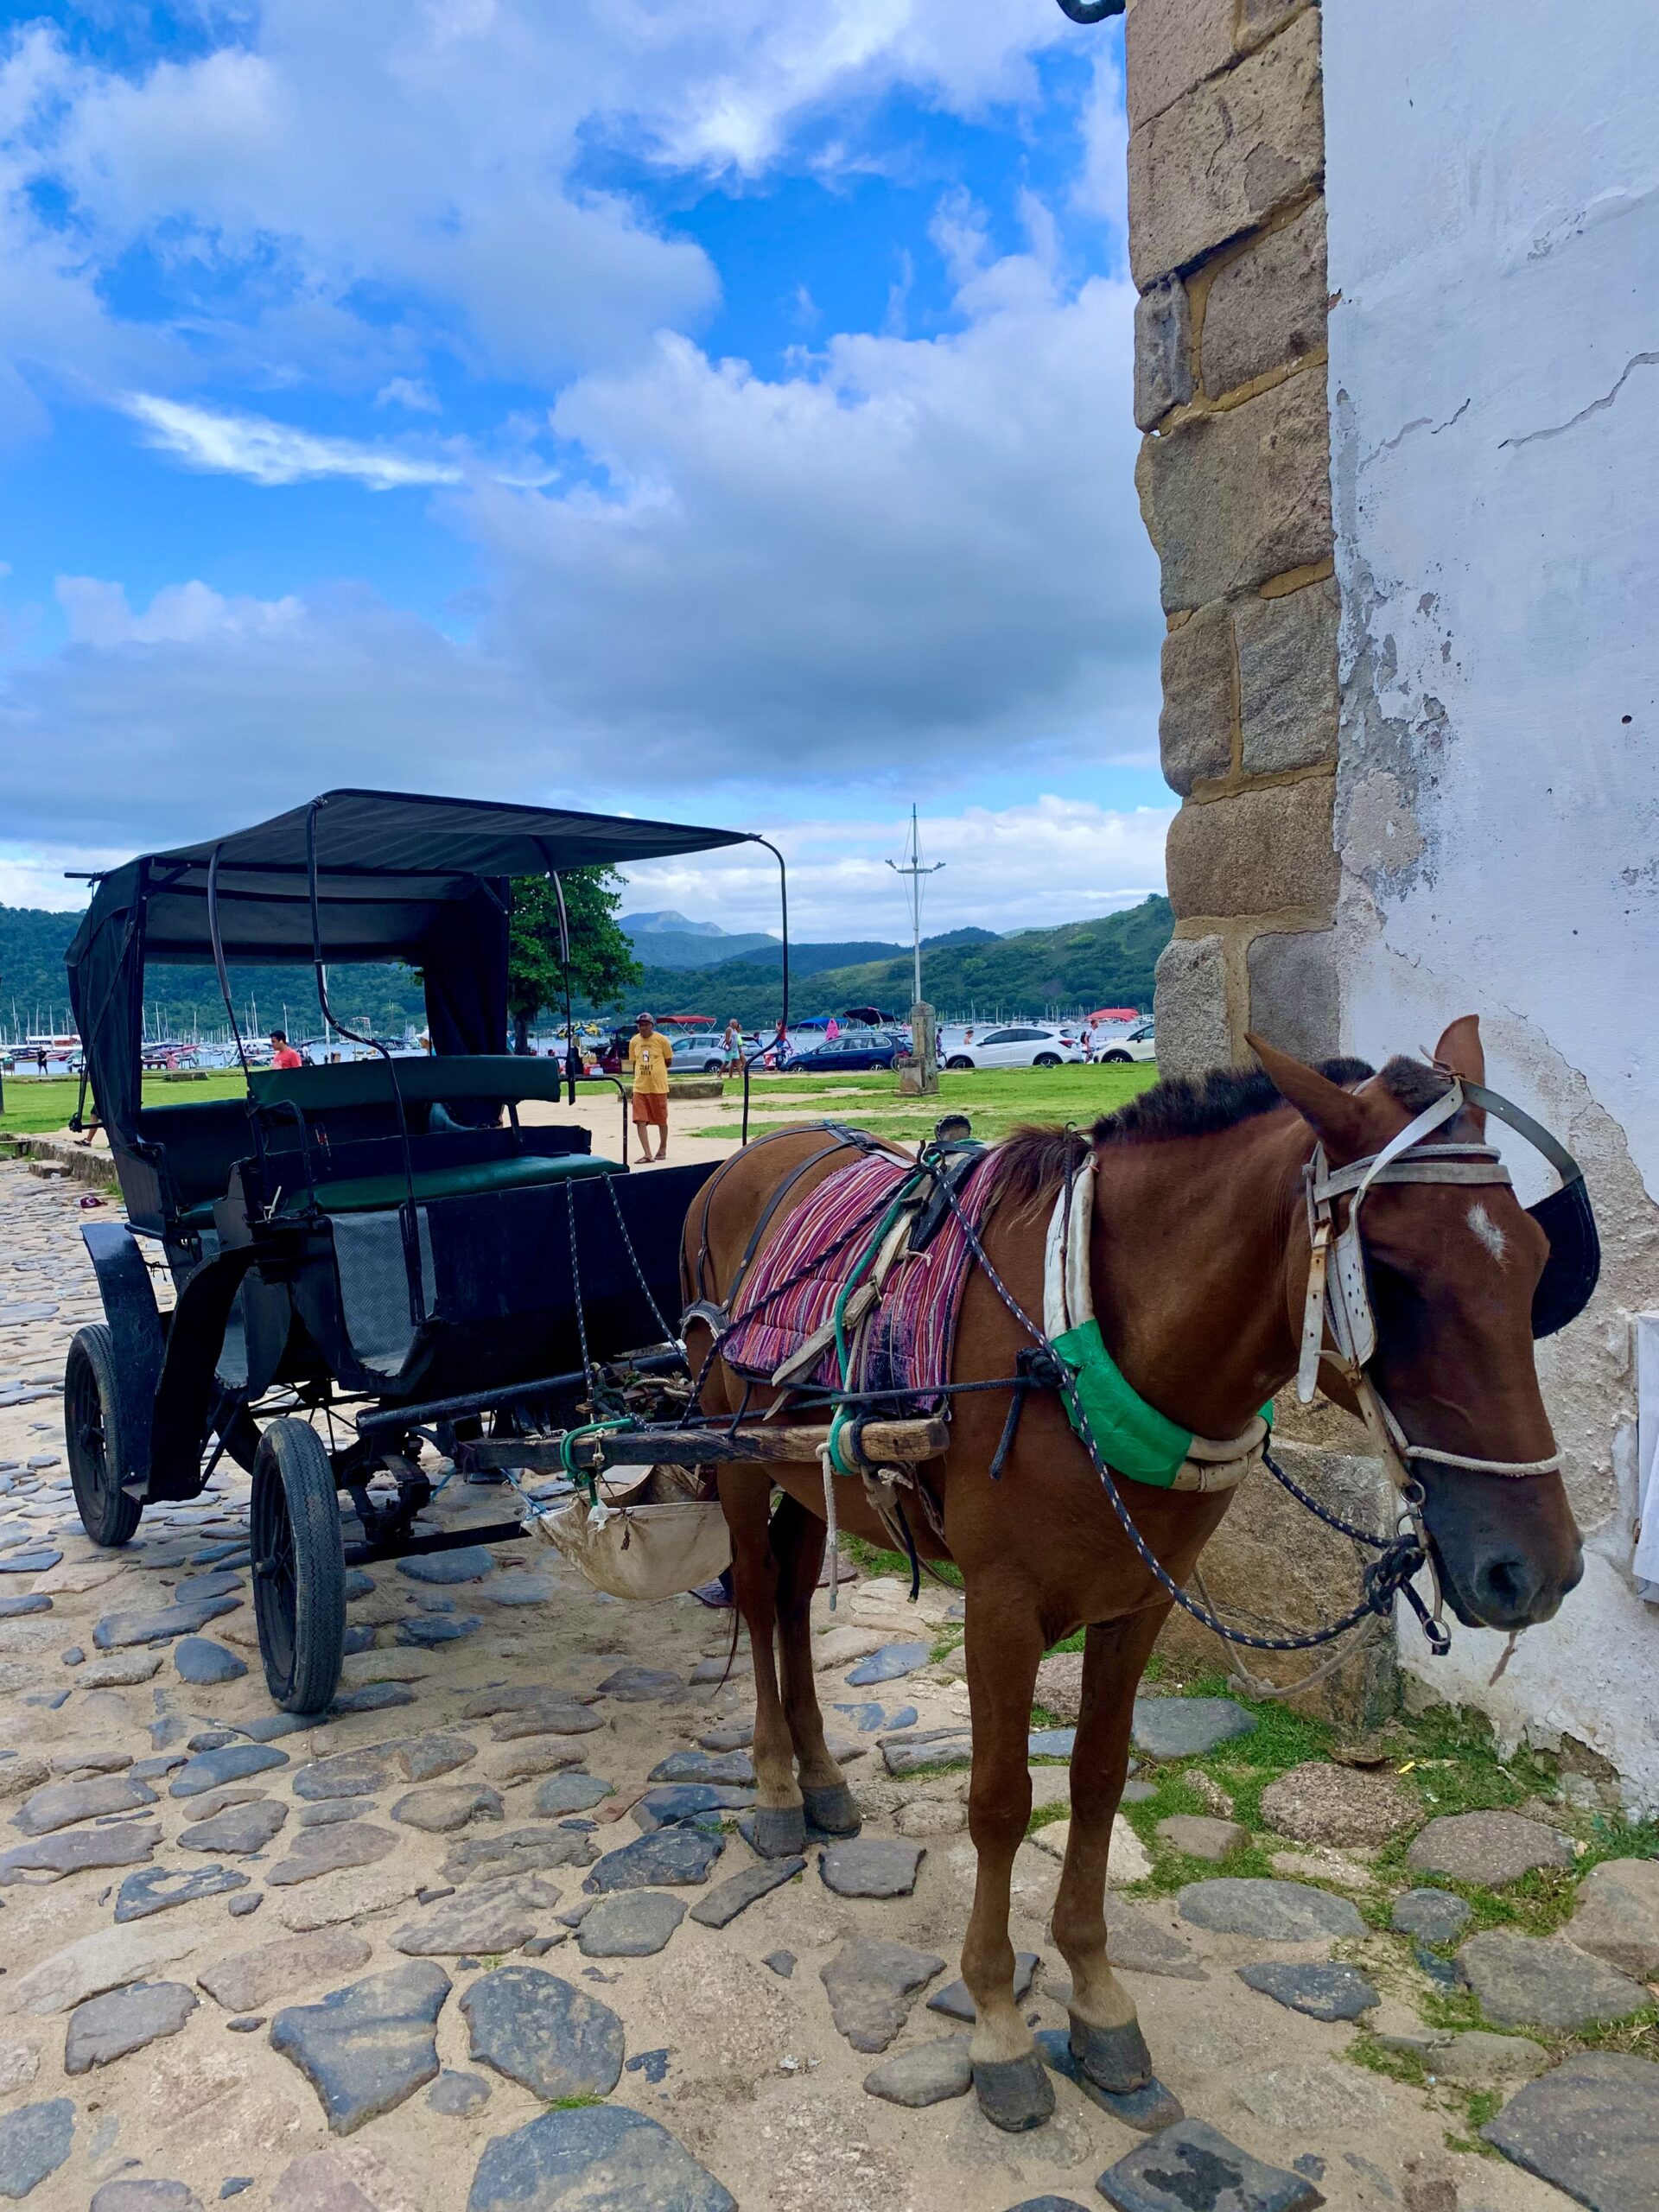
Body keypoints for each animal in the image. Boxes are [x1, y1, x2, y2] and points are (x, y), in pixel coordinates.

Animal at [685, 1017, 1583, 2123]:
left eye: (1541, 1262)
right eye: (1396, 1279)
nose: (1536, 1568)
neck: (1087, 1338)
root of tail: (750, 1155)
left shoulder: (1140, 1600)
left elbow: (1100, 1782)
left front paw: (1098, 2001)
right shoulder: (999, 1608)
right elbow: (1001, 1802)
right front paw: (999, 2020)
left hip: (807, 1473)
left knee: (795, 1599)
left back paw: (819, 1777)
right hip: (730, 1460)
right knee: (758, 1594)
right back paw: (775, 1788)